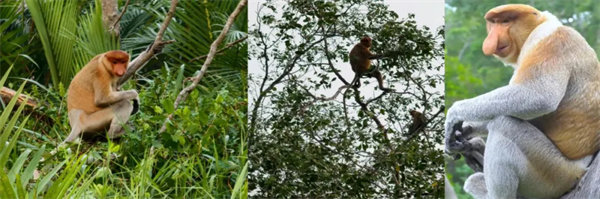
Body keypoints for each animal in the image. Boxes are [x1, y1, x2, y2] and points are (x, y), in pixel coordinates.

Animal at [442, 3, 600, 198]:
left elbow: (538, 95)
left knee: (504, 125)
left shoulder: (551, 41)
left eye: (505, 21)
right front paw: (463, 131)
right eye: (493, 23)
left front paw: (453, 115)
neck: (541, 23)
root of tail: (582, 171)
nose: (490, 41)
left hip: (554, 173)